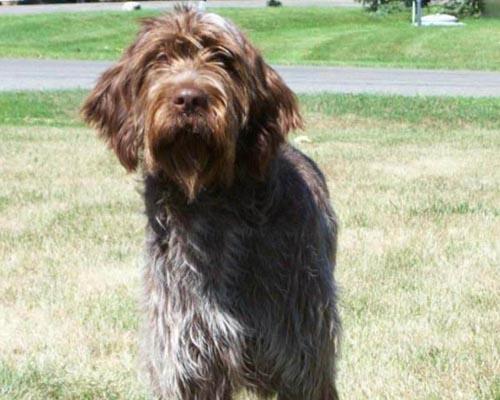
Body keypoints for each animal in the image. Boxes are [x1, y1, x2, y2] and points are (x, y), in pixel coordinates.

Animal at [82, 7, 340, 400]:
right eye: (158, 58)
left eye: (223, 59)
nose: (189, 98)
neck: (212, 204)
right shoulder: (187, 361)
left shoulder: (303, 361)